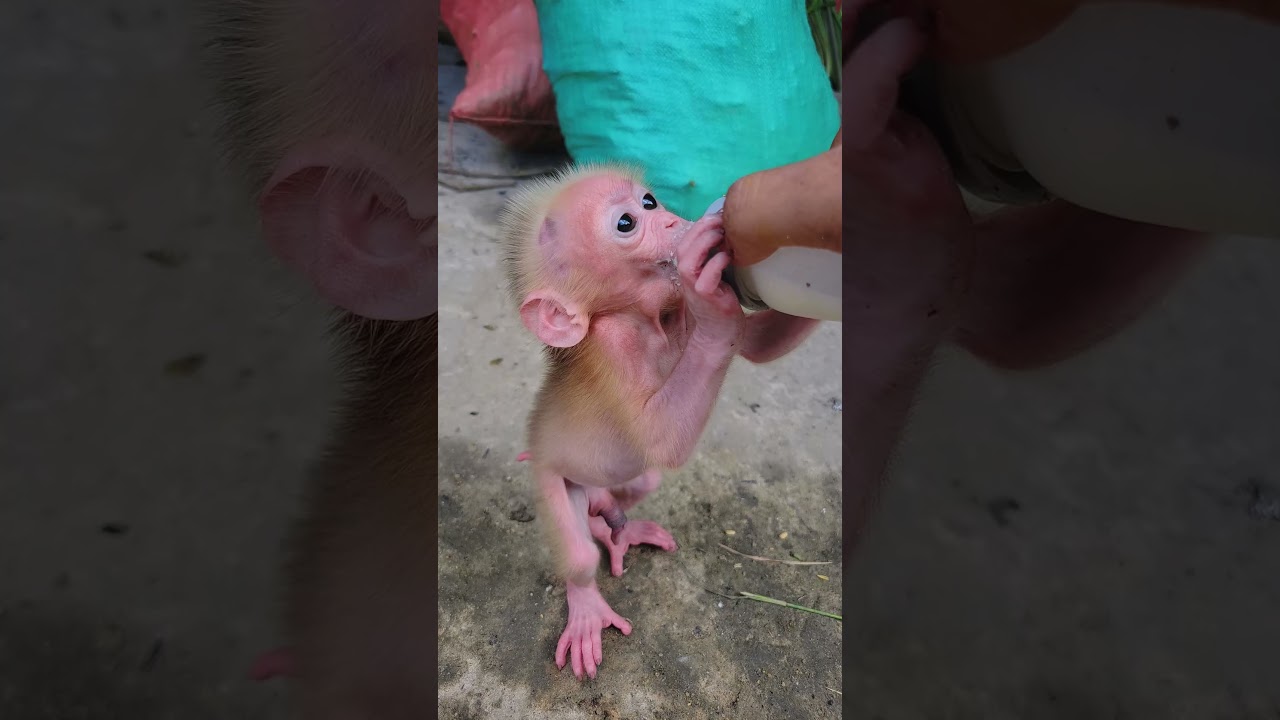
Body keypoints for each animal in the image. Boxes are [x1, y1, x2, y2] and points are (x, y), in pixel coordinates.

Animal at [498, 163, 824, 680]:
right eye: (626, 223)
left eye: (650, 202)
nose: (673, 221)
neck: (646, 319)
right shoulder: (612, 345)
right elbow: (659, 440)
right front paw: (713, 298)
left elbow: (756, 345)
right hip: (551, 477)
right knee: (577, 551)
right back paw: (586, 600)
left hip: (611, 484)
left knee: (633, 486)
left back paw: (613, 525)